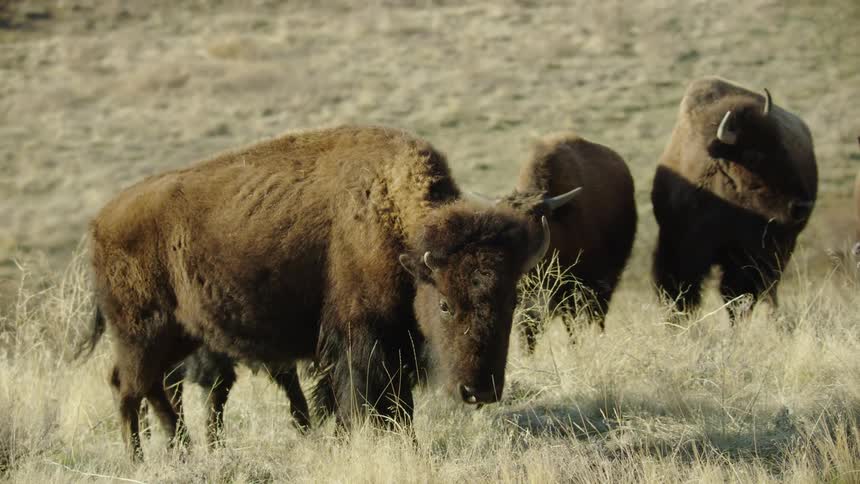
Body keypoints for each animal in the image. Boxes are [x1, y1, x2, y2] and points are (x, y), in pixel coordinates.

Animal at [79, 125, 557, 460]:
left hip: (178, 336)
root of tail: (101, 222)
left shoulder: (391, 343)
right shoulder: (361, 341)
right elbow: (371, 401)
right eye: (444, 304)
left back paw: (181, 453)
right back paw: (139, 460)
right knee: (127, 387)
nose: (479, 391)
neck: (391, 219)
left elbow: (384, 404)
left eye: (512, 299)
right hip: (141, 333)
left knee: (154, 388)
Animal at [652, 77, 818, 322]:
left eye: (783, 146)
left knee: (769, 288)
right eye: (752, 155)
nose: (801, 207)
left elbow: (735, 295)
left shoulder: (746, 254)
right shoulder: (681, 244)